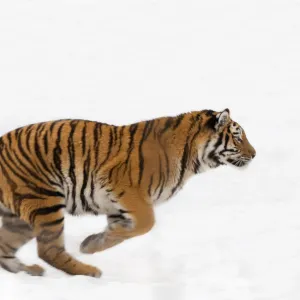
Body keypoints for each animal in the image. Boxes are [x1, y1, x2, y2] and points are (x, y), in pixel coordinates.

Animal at [0, 108, 255, 276]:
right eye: (237, 136)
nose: (254, 154)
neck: (193, 159)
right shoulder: (129, 192)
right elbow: (146, 224)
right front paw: (92, 243)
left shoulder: (116, 206)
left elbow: (120, 233)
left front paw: (92, 243)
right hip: (45, 201)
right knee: (48, 250)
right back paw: (89, 272)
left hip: (20, 218)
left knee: (6, 248)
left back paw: (28, 271)